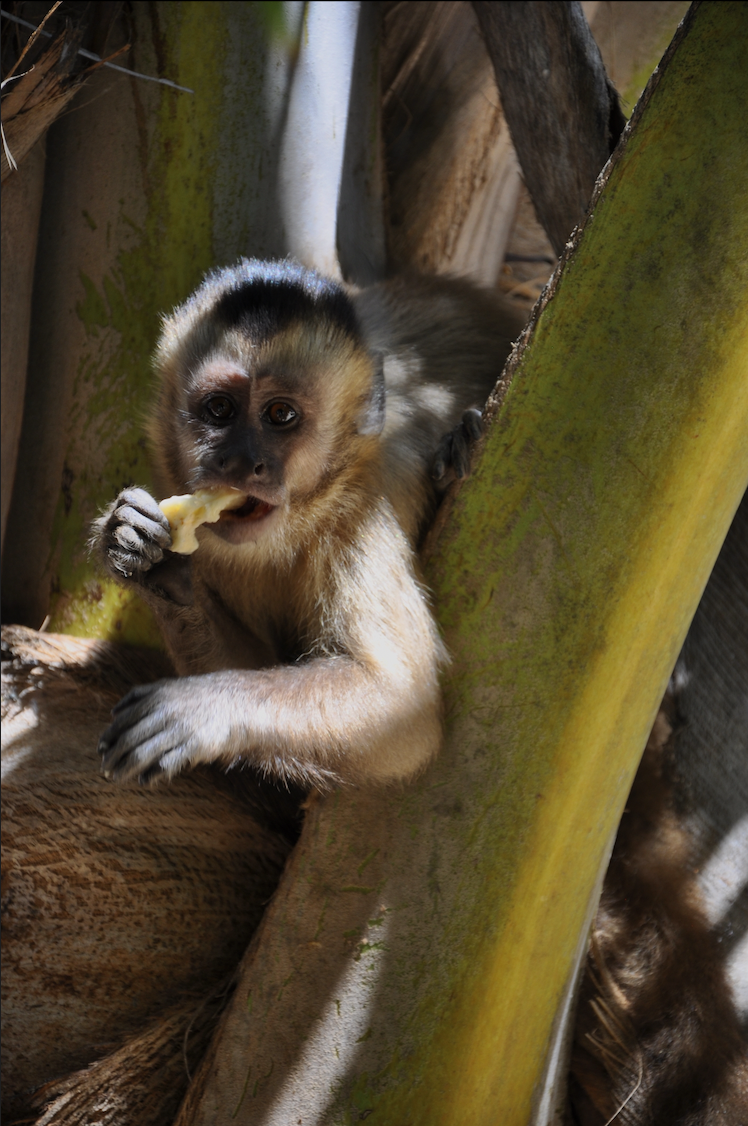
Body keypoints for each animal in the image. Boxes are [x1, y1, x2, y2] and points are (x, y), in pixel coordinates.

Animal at [93, 259, 525, 790]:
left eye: (281, 414)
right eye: (220, 408)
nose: (242, 461)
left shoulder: (358, 518)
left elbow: (401, 707)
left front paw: (202, 708)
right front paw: (147, 557)